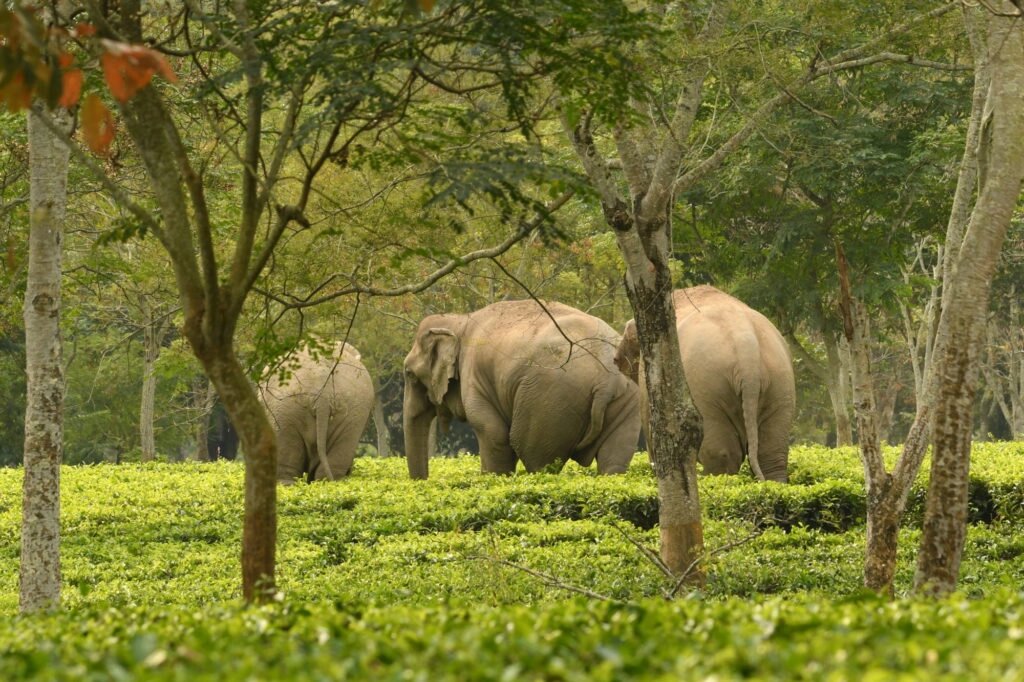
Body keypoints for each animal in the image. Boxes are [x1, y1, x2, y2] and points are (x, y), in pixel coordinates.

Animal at [401, 296, 634, 477]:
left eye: (409, 374)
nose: (424, 481)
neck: (459, 320)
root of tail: (605, 382)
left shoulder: (474, 378)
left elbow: (494, 434)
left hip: (549, 401)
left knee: (535, 457)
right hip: (626, 398)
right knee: (614, 461)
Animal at [610, 284, 794, 481]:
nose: (615, 360)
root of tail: (747, 349)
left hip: (707, 387)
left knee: (722, 453)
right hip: (780, 381)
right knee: (771, 454)